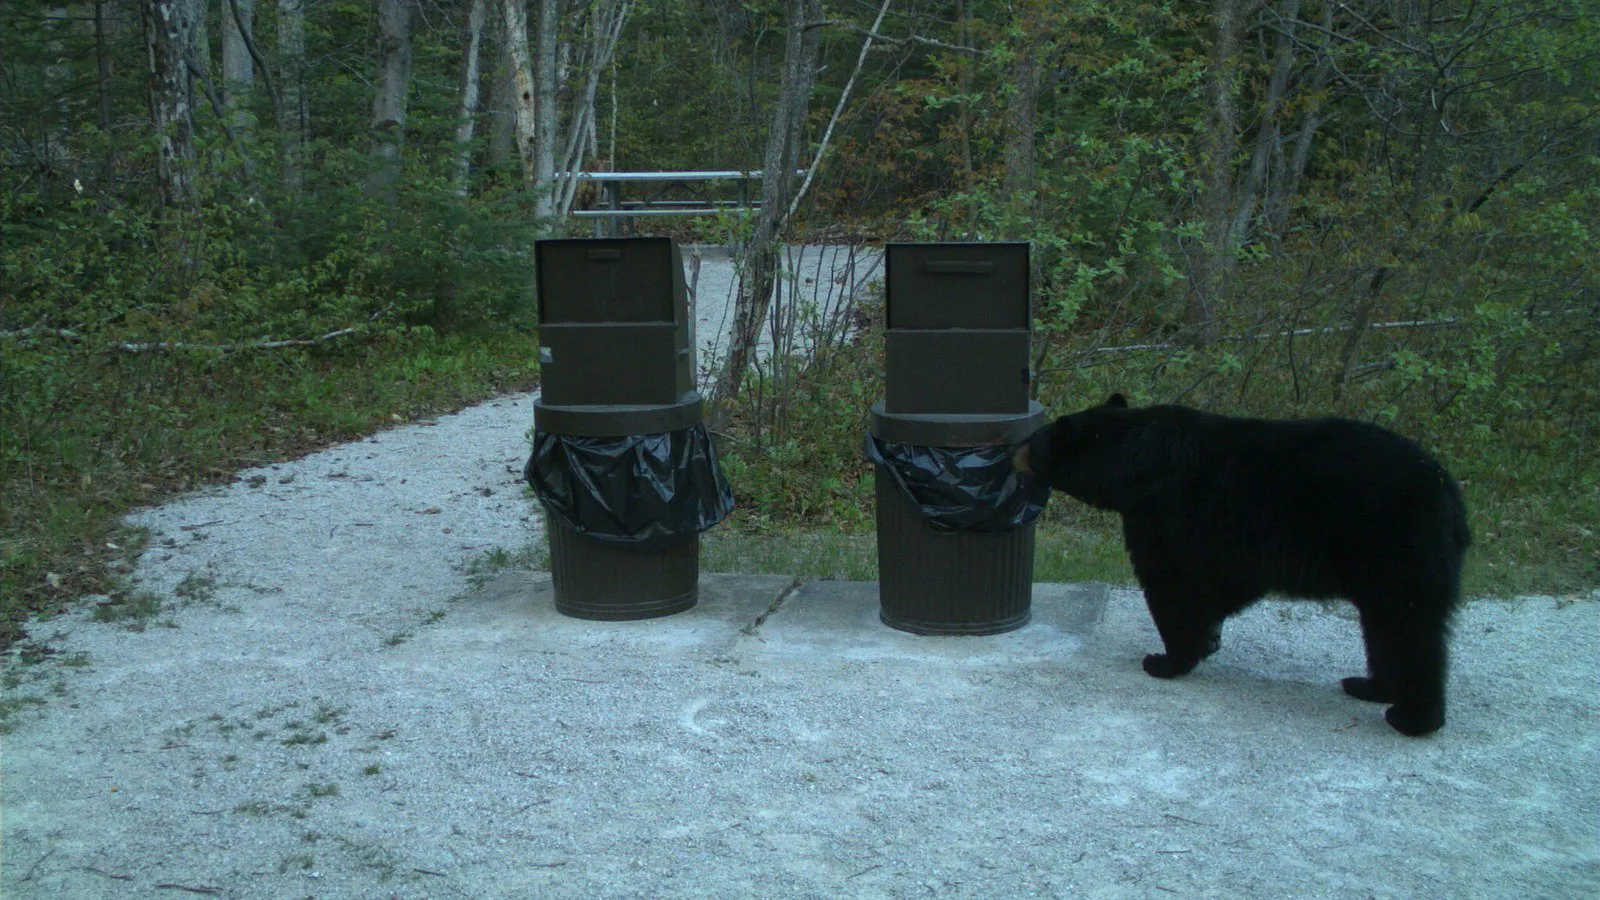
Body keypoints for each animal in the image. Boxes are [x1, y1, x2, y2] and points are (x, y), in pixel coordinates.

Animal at [1014, 393, 1471, 736]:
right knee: (1382, 629)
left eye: (1033, 440)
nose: (1013, 450)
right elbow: (1227, 585)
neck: (1130, 462)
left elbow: (1170, 582)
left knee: (1408, 628)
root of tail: (1449, 494)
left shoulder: (1161, 516)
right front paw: (1207, 639)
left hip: (1393, 548)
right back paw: (1371, 686)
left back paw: (1411, 717)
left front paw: (1167, 659)